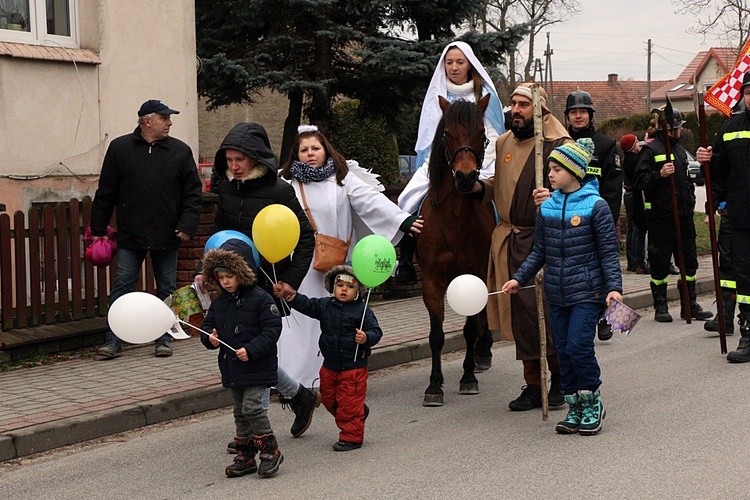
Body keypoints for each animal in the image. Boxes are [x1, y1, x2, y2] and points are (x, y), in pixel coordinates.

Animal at [418, 95, 500, 408]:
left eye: (482, 133)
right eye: (446, 133)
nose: (465, 177)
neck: (453, 217)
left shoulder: (475, 274)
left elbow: (469, 329)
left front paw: (468, 377)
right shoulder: (431, 279)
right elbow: (436, 335)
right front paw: (434, 385)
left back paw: (483, 353)